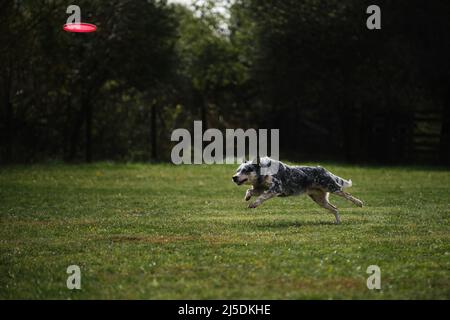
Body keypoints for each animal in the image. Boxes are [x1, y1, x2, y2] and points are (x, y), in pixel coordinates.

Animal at [232, 157, 362, 222]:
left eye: (246, 170)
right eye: (238, 170)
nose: (234, 177)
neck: (265, 172)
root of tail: (323, 169)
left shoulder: (276, 189)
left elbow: (261, 197)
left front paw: (254, 204)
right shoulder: (260, 188)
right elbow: (250, 191)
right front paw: (248, 197)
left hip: (333, 188)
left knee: (347, 195)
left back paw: (359, 203)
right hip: (319, 200)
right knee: (335, 208)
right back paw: (338, 222)